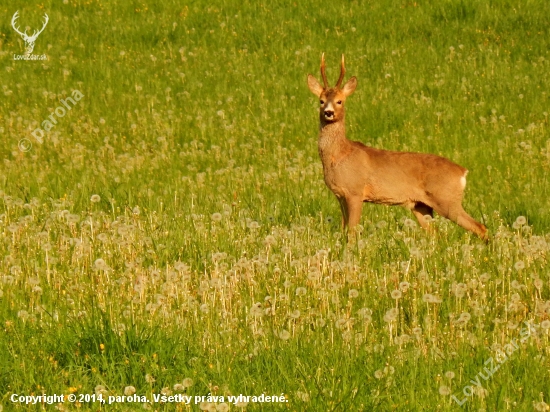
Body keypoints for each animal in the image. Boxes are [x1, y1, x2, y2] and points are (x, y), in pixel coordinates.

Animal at [308, 55, 490, 241]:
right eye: (321, 101)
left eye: (340, 101)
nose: (328, 112)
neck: (339, 155)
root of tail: (462, 172)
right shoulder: (340, 195)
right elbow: (344, 231)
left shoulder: (355, 192)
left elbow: (352, 232)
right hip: (421, 206)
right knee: (437, 235)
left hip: (447, 200)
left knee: (480, 227)